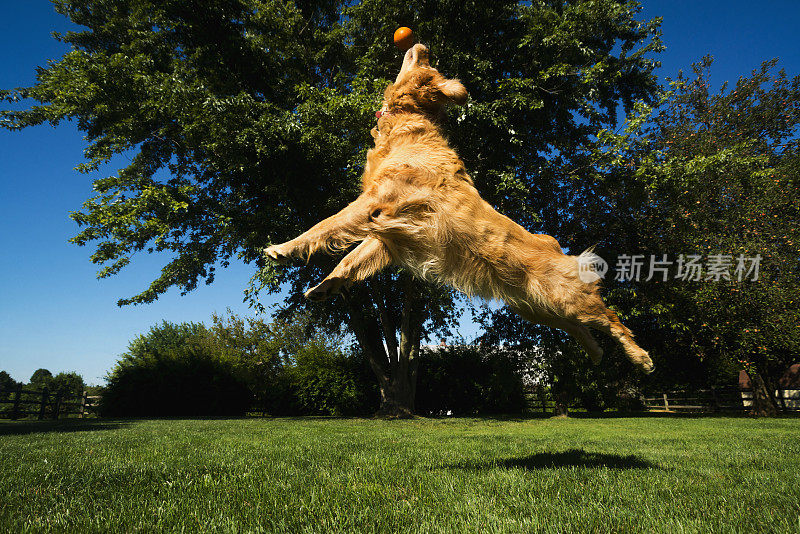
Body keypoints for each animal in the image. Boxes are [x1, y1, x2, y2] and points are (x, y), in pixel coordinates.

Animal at [266, 45, 652, 372]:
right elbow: (348, 261)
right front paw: (324, 287)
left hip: (567, 298)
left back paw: (640, 357)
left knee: (611, 319)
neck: (411, 125)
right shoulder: (386, 234)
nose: (421, 45)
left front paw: (282, 249)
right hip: (537, 307)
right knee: (579, 327)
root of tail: (556, 247)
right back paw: (596, 353)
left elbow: (325, 226)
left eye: (426, 65)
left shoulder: (375, 205)